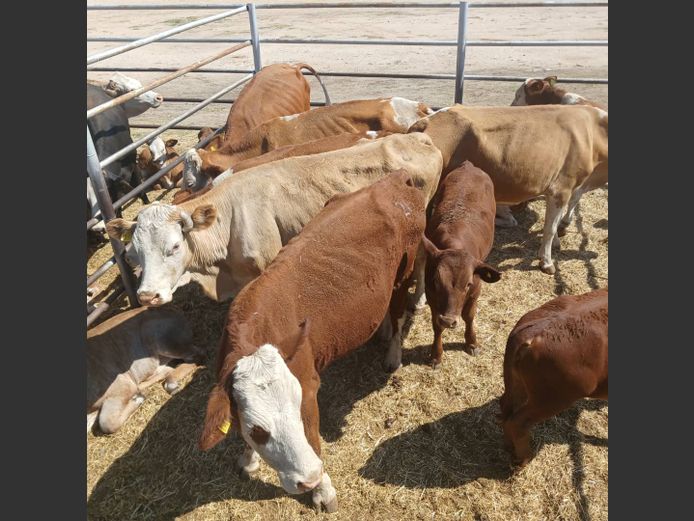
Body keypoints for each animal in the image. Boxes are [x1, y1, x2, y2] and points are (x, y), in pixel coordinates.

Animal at [198, 171, 427, 513]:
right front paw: (249, 461)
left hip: (405, 269)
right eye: (258, 431)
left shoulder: (308, 386)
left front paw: (323, 490)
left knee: (399, 311)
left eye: (299, 409)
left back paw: (393, 353)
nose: (307, 479)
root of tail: (394, 179)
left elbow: (315, 442)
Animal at [408, 104, 608, 274]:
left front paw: (556, 244)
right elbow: (550, 228)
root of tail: (425, 120)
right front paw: (547, 262)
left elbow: (554, 222)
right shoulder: (561, 188)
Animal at [421, 162, 501, 368]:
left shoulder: (475, 293)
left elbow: (469, 317)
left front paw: (472, 343)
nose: (449, 321)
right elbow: (436, 325)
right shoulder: (432, 297)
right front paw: (436, 354)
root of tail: (469, 166)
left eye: (468, 284)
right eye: (436, 281)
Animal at [499, 288, 608, 466]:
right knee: (517, 422)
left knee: (506, 408)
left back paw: (509, 447)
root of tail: (532, 333)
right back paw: (525, 459)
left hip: (518, 385)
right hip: (554, 399)